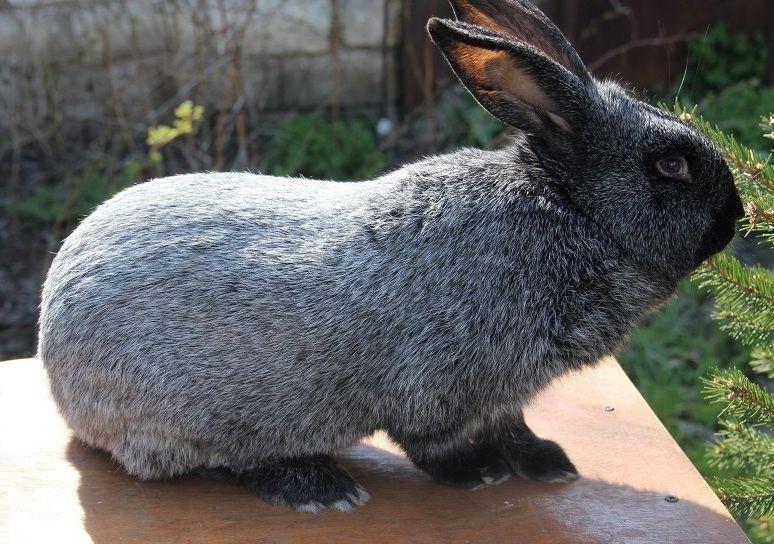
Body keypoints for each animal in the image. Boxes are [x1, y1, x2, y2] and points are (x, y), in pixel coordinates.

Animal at [38, 0, 744, 513]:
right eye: (671, 165)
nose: (736, 217)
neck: (569, 212)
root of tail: (52, 343)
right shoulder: (438, 387)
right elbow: (432, 446)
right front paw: (478, 473)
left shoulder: (506, 393)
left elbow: (512, 427)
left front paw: (547, 461)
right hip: (200, 416)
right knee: (221, 461)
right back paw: (318, 488)